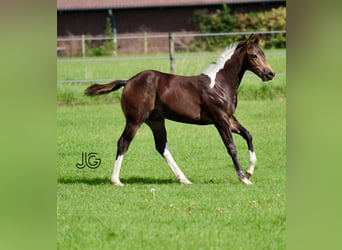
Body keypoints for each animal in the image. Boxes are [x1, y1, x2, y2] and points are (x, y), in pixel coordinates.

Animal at [85, 36, 276, 187]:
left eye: (264, 54)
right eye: (253, 56)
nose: (270, 74)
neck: (219, 85)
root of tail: (129, 81)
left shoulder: (229, 118)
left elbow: (248, 135)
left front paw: (250, 173)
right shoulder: (220, 120)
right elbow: (231, 147)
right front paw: (243, 178)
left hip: (156, 120)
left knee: (161, 146)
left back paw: (184, 179)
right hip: (135, 120)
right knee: (123, 142)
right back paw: (116, 180)